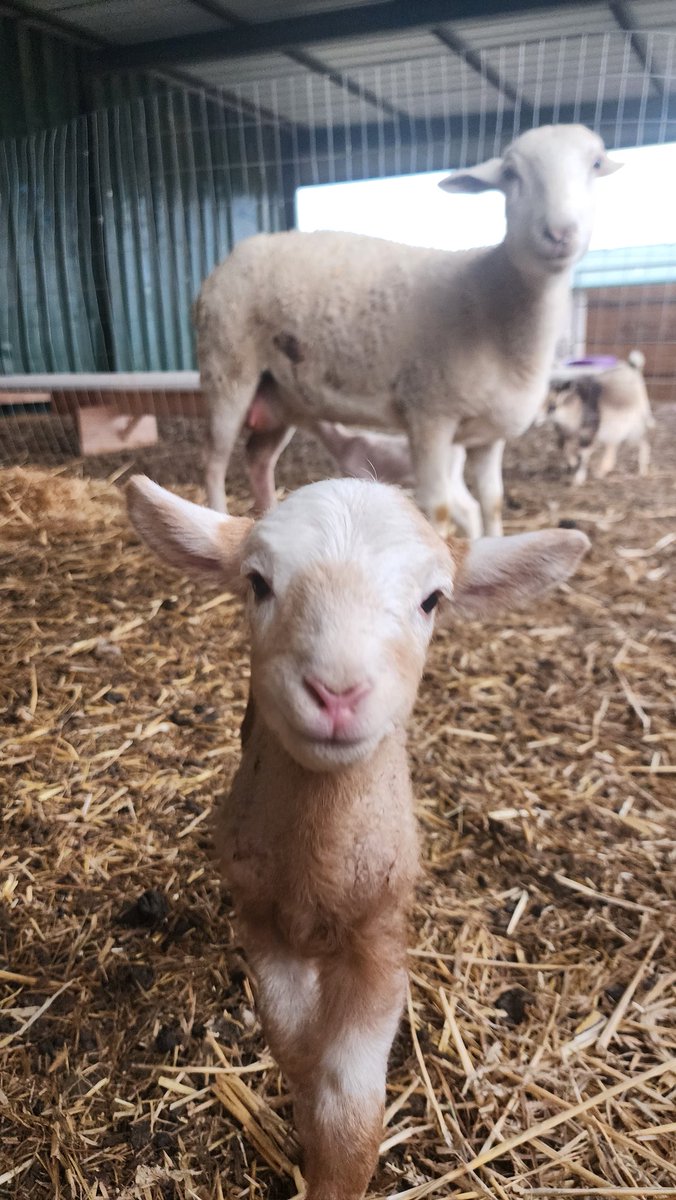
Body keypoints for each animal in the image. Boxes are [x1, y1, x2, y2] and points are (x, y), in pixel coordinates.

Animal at [127, 473, 589, 1200]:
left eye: (432, 599)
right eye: (257, 582)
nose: (337, 693)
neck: (316, 871)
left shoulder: (382, 936)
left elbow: (351, 1104)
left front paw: (332, 1163)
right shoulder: (261, 921)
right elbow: (294, 1046)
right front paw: (305, 1111)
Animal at [197, 123, 621, 537]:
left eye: (596, 164)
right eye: (511, 174)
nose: (560, 232)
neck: (494, 301)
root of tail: (233, 255)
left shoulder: (489, 437)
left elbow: (493, 503)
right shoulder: (429, 415)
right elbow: (439, 508)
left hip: (281, 395)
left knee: (258, 458)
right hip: (227, 369)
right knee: (215, 462)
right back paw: (216, 515)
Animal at [547, 350, 654, 484]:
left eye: (555, 402)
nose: (549, 410)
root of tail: (632, 368)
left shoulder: (588, 432)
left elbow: (584, 453)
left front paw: (578, 477)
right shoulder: (565, 432)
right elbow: (563, 447)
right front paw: (572, 463)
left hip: (635, 421)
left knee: (643, 441)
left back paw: (642, 469)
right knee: (614, 444)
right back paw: (602, 471)